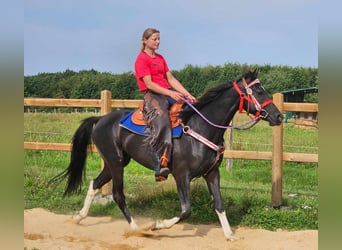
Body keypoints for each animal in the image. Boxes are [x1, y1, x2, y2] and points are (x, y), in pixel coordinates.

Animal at [52, 68, 284, 240]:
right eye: (259, 91)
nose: (279, 116)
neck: (201, 127)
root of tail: (100, 120)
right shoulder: (181, 175)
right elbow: (186, 210)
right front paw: (156, 225)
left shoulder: (212, 173)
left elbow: (219, 205)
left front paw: (229, 235)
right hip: (116, 163)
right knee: (118, 195)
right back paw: (138, 229)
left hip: (115, 162)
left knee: (94, 183)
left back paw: (78, 217)